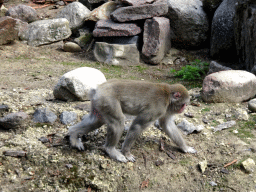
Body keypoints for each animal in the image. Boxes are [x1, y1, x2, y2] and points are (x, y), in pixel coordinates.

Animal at [68, 79, 196, 162]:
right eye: (184, 104)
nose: (184, 109)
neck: (168, 96)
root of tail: (97, 89)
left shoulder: (166, 109)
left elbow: (167, 125)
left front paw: (185, 148)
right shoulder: (158, 107)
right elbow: (137, 125)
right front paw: (126, 153)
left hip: (99, 102)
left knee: (96, 120)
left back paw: (73, 134)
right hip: (107, 99)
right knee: (118, 122)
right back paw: (111, 150)